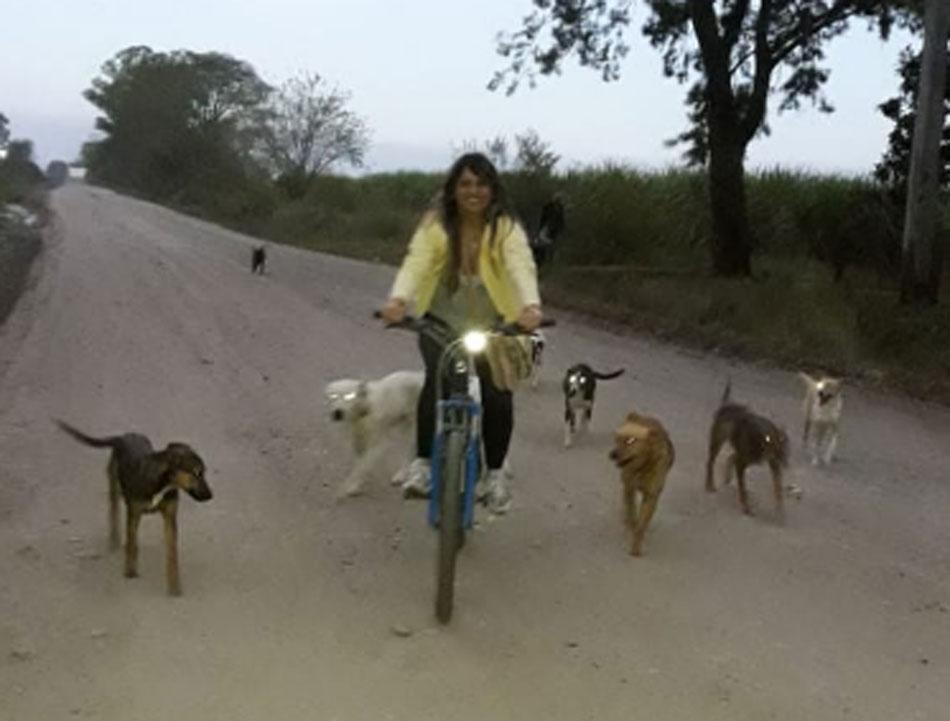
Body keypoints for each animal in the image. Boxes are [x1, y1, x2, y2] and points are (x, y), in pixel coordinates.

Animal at [56, 420, 213, 592]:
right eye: (196, 473)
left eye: (202, 472)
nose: (211, 496)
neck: (162, 483)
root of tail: (123, 436)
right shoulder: (134, 512)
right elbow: (132, 543)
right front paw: (130, 570)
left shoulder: (170, 517)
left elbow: (172, 554)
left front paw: (174, 586)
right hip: (113, 483)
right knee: (114, 512)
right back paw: (114, 540)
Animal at [608, 408, 676, 556]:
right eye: (616, 439)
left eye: (631, 440)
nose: (612, 454)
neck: (643, 467)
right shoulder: (629, 488)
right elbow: (632, 514)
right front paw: (632, 527)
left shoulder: (651, 495)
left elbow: (641, 524)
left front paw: (636, 545)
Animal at [704, 380, 792, 520]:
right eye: (779, 451)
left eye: (787, 451)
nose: (786, 464)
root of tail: (727, 405)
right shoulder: (742, 464)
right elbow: (743, 488)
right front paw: (746, 507)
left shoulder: (772, 466)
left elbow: (778, 489)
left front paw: (780, 512)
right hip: (717, 442)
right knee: (711, 462)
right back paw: (710, 484)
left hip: (745, 456)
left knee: (731, 457)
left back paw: (726, 477)